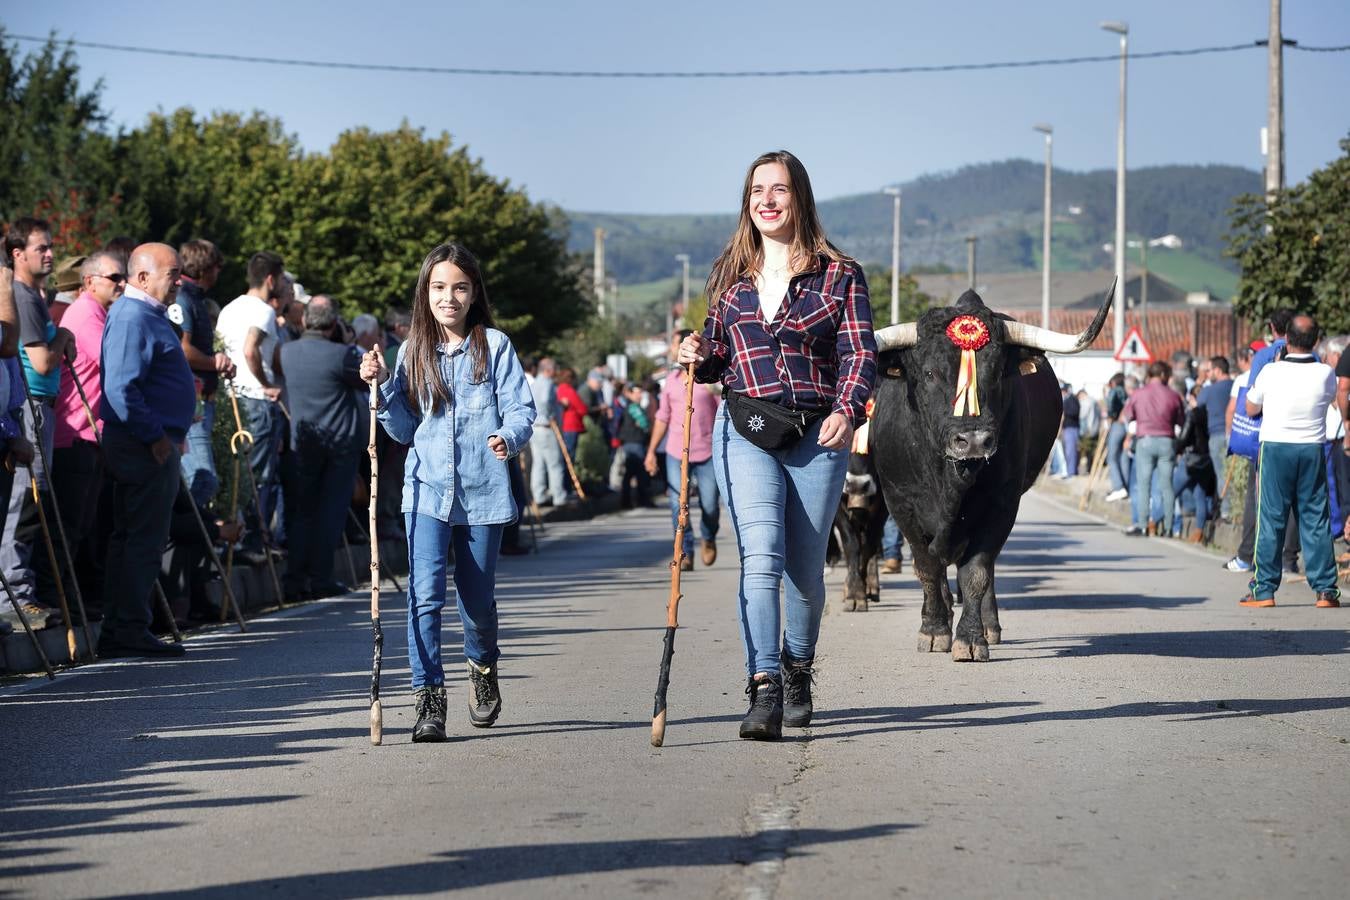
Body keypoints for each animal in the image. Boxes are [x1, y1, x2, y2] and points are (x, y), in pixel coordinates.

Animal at [864, 283, 1117, 661]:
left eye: (997, 374)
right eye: (929, 373)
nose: (973, 440)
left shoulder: (1002, 505)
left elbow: (977, 572)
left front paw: (970, 638)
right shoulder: (901, 504)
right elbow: (927, 568)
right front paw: (934, 630)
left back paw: (989, 625)